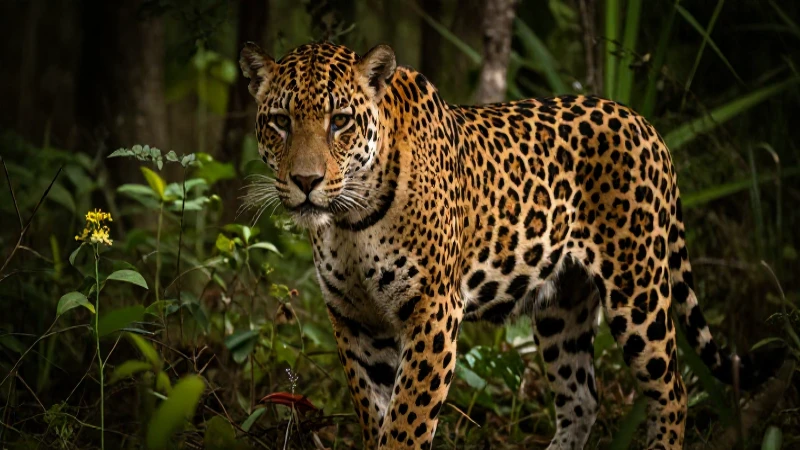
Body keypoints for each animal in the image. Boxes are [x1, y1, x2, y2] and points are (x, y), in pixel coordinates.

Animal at [239, 41, 782, 449]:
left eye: (341, 121)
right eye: (281, 121)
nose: (306, 182)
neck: (349, 220)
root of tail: (645, 123)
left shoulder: (434, 310)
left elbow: (407, 422)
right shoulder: (353, 319)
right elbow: (377, 418)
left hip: (638, 291)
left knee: (672, 391)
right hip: (563, 307)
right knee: (582, 400)